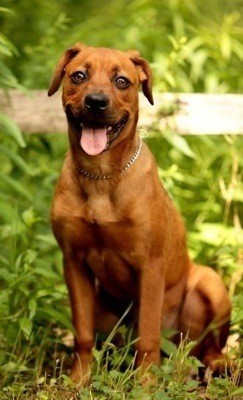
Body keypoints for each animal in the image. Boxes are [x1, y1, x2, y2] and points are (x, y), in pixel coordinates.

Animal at [48, 43, 232, 384]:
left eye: (122, 81)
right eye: (78, 76)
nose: (96, 102)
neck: (101, 176)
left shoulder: (150, 265)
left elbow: (147, 336)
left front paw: (145, 385)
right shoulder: (74, 262)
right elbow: (83, 334)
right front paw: (78, 381)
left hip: (211, 283)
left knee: (209, 346)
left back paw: (214, 364)